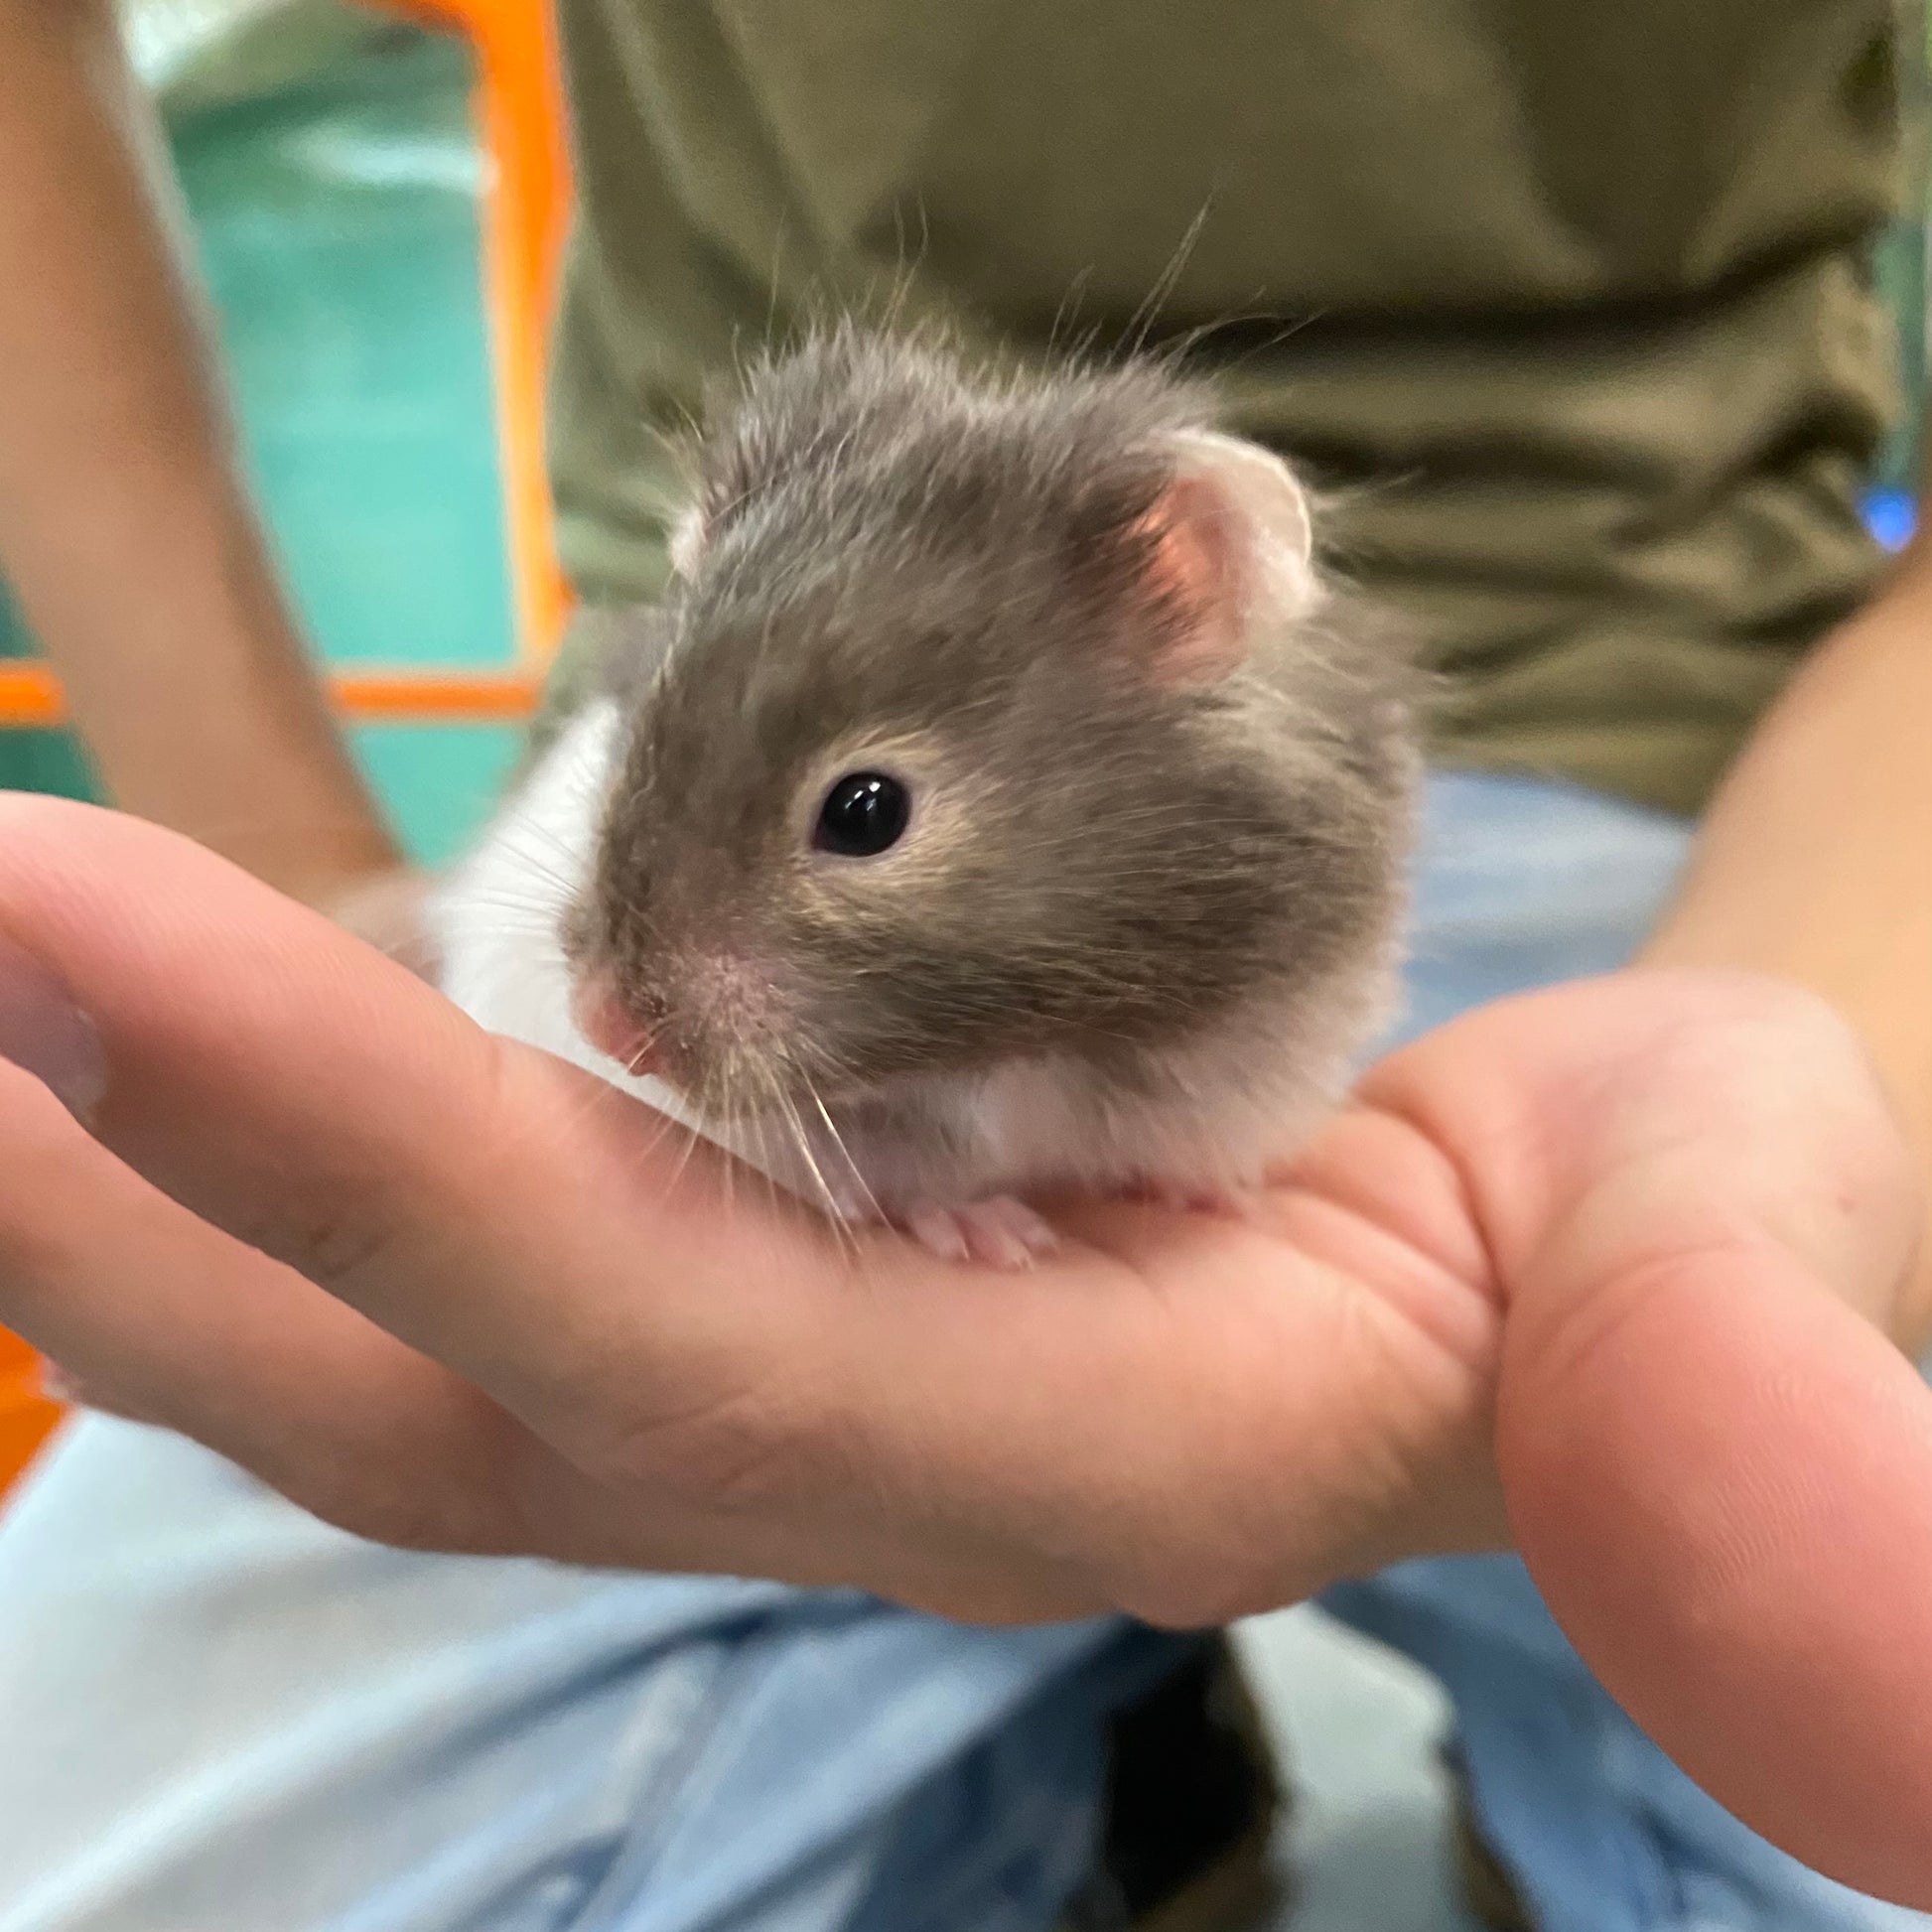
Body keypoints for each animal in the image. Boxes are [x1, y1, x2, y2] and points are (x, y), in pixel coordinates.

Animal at [435, 327, 1419, 1268]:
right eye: (638, 732)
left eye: (865, 812)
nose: (603, 1027)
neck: (1033, 1042)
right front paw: (991, 1235)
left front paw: (1219, 1198)